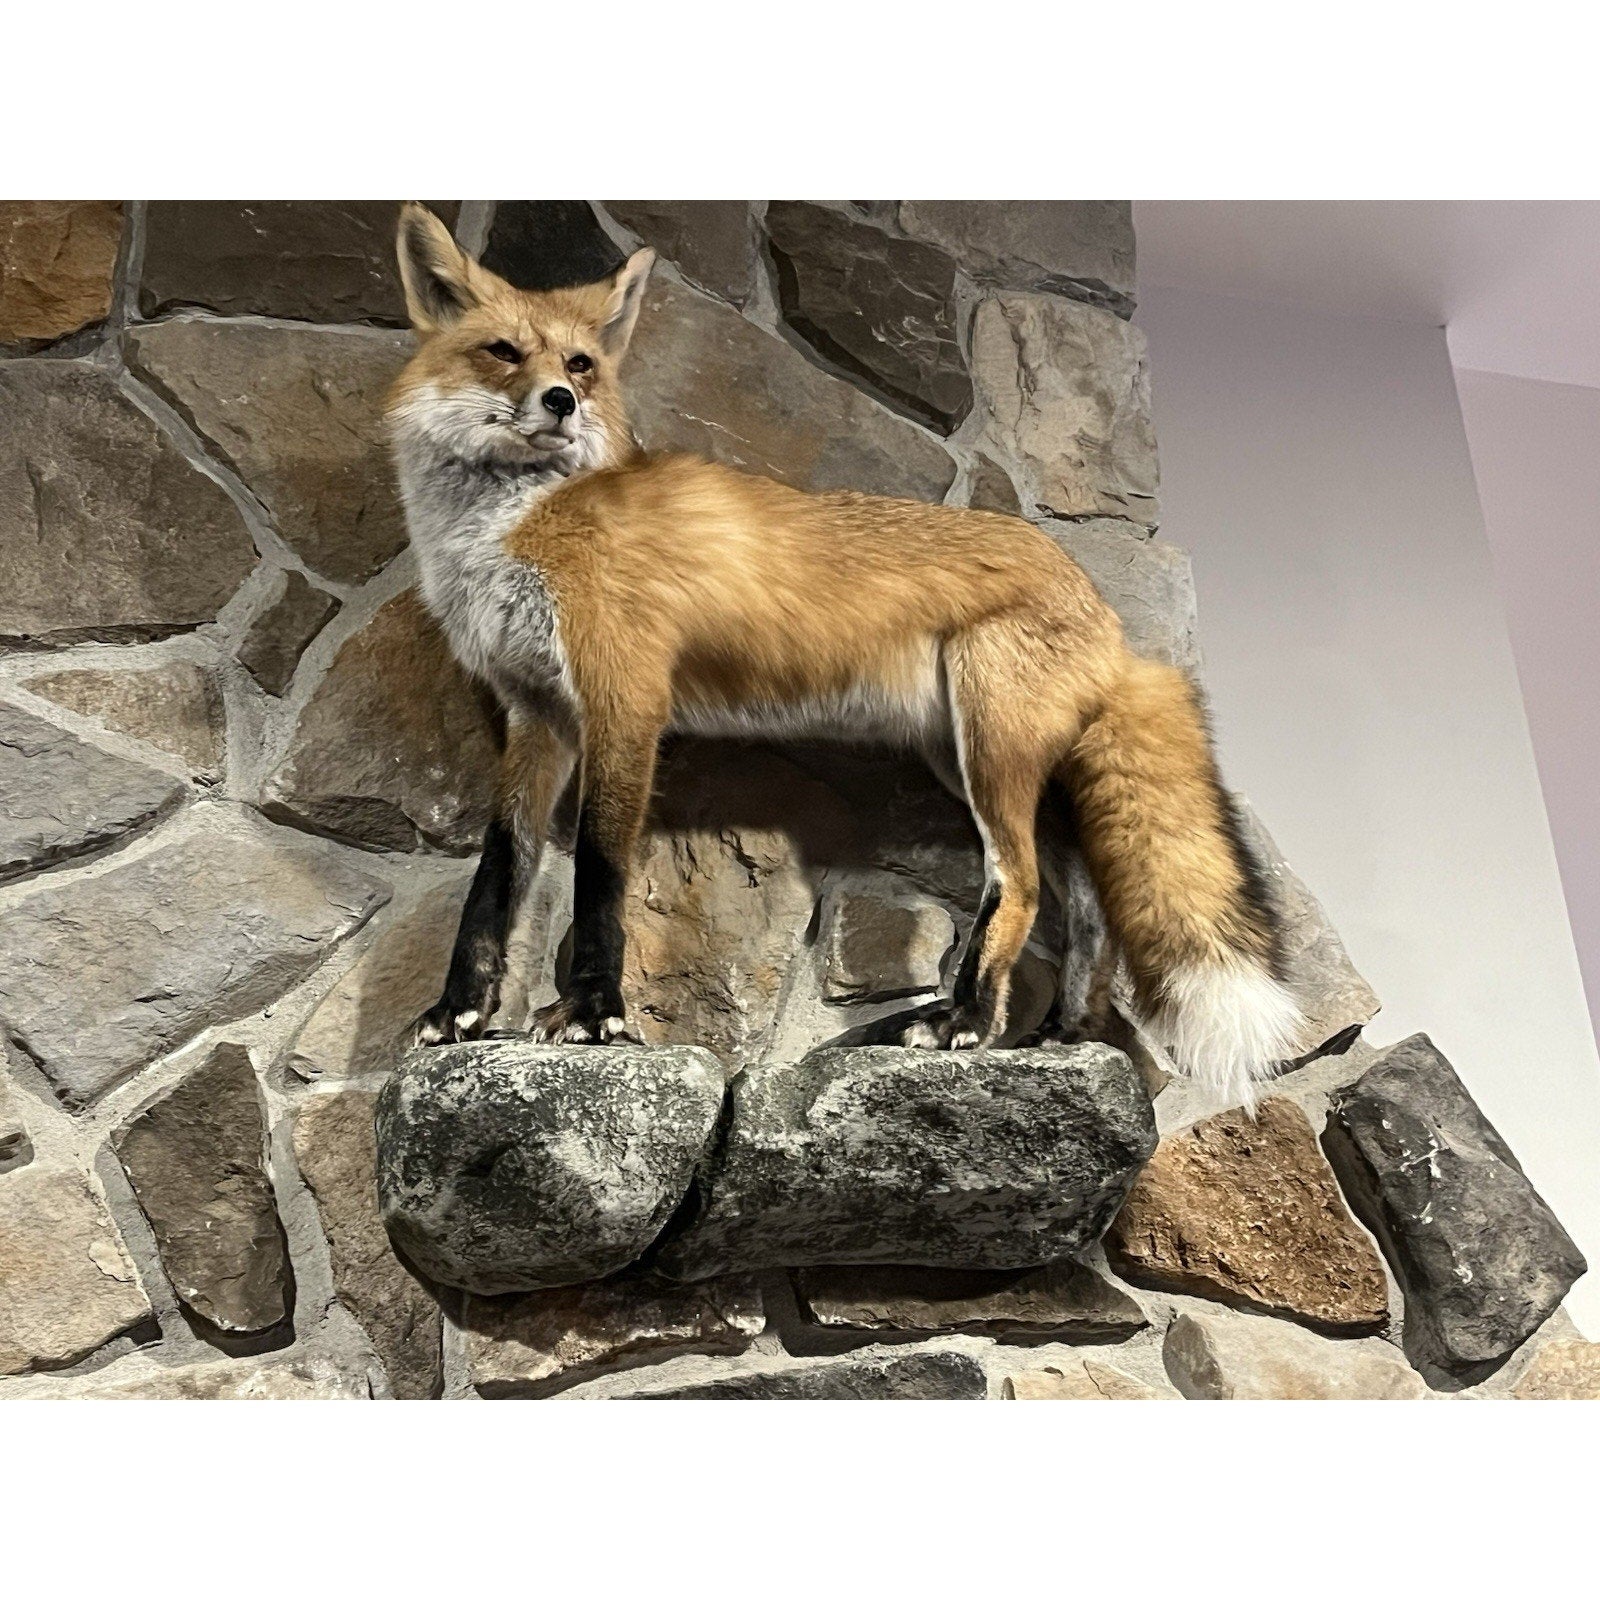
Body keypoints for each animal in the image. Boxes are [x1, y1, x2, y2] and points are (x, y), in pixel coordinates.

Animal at [385, 202, 1302, 1106]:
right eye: (503, 351)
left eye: (579, 362)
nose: (563, 401)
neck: (514, 524)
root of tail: (1107, 615)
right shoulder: (535, 713)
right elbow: (498, 872)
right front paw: (458, 1013)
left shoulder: (624, 702)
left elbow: (599, 871)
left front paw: (591, 1013)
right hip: (984, 764)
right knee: (1080, 905)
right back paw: (1058, 1034)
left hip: (989, 756)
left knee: (1021, 885)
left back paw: (963, 1023)